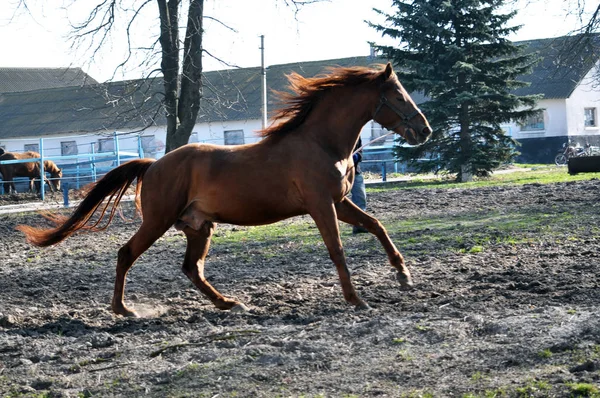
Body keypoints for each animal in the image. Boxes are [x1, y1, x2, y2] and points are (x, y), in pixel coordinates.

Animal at [18, 63, 432, 318]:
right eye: (398, 95)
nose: (424, 130)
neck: (320, 143)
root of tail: (153, 164)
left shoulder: (340, 202)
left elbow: (376, 225)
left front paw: (403, 276)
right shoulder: (321, 206)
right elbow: (338, 250)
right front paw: (356, 300)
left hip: (199, 226)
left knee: (191, 268)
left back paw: (230, 304)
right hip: (159, 221)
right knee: (126, 254)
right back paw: (125, 309)